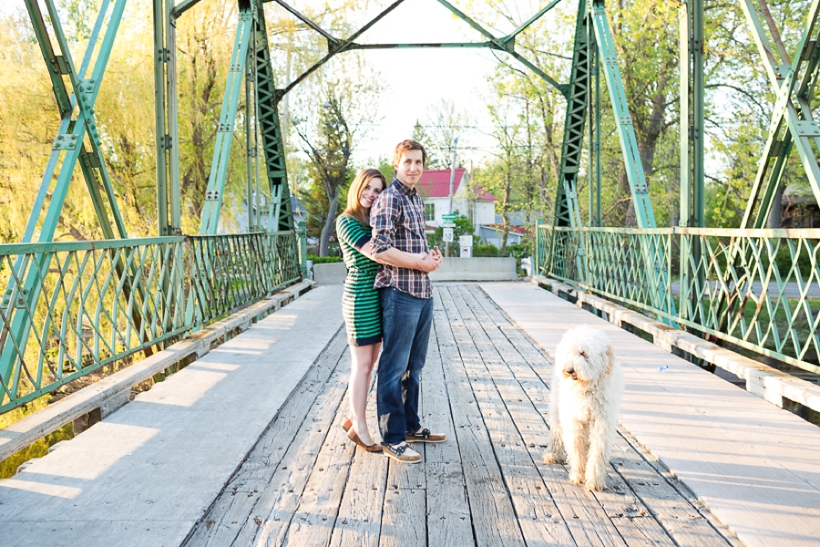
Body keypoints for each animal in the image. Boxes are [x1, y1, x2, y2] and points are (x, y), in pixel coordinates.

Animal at [544, 326, 620, 492]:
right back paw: (552, 454)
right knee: (556, 432)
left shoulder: (602, 424)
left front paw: (594, 481)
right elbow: (576, 449)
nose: (569, 370)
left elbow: (598, 453)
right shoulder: (574, 422)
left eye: (583, 353)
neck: (587, 389)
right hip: (557, 407)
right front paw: (578, 475)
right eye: (568, 353)